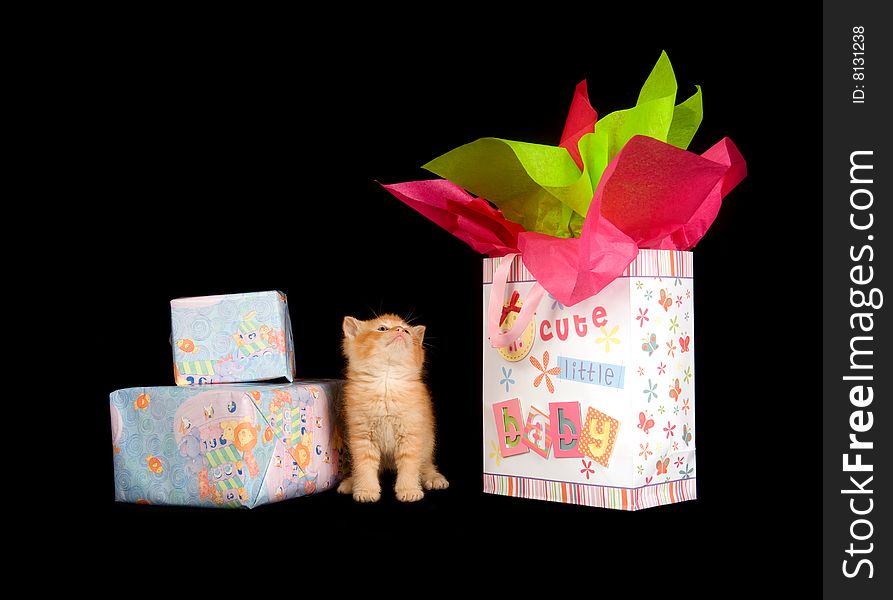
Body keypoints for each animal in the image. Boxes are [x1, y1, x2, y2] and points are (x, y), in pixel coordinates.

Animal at [336, 314, 450, 502]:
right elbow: (364, 466)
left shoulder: (411, 435)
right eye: (382, 328)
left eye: (407, 331)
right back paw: (351, 482)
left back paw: (434, 477)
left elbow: (410, 466)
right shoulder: (362, 437)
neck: (386, 382)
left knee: (425, 465)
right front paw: (366, 490)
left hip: (427, 444)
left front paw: (409, 490)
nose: (400, 330)